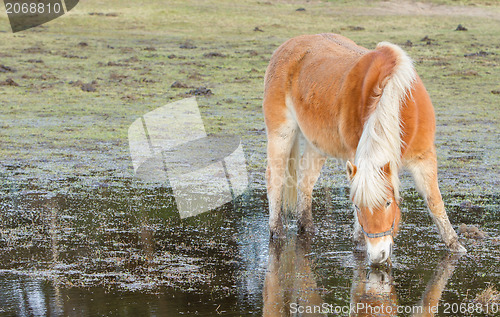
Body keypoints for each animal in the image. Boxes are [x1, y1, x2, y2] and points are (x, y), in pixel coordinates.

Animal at [264, 32, 466, 264]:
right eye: (357, 206)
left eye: (388, 203)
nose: (378, 255)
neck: (397, 98)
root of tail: (289, 45)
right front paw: (360, 246)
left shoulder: (424, 158)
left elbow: (435, 202)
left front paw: (456, 246)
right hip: (281, 133)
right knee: (275, 179)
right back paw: (277, 231)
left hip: (317, 145)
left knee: (306, 183)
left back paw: (308, 228)